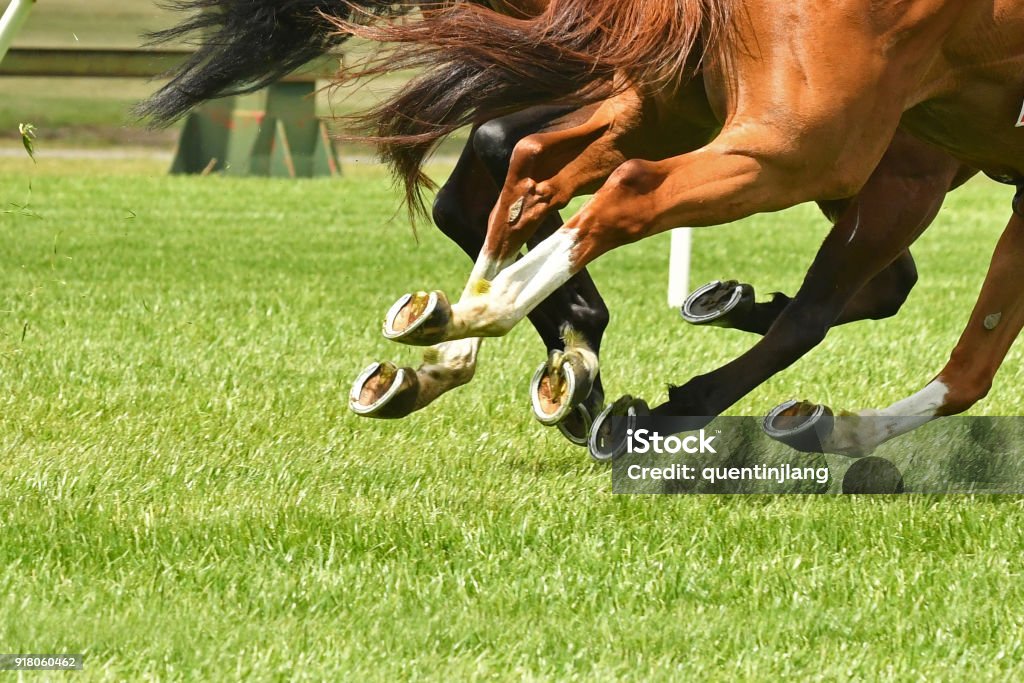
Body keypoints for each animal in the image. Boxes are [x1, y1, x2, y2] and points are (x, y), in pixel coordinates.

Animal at [344, 1, 1024, 458]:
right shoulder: (904, 174)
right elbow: (827, 312)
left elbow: (971, 361)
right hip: (799, 148)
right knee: (625, 190)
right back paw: (491, 322)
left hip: (666, 110)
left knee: (533, 167)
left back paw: (455, 336)